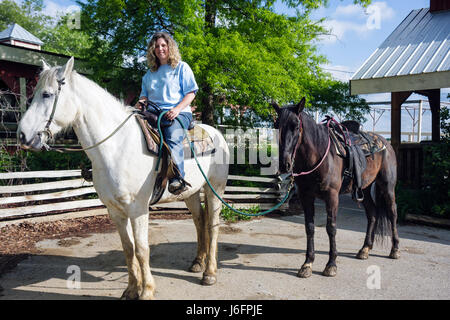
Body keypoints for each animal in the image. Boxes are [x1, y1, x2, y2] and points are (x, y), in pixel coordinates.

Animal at [16, 57, 229, 300]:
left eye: (47, 94)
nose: (22, 135)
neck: (116, 147)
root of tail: (217, 134)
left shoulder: (138, 209)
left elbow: (142, 248)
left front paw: (147, 290)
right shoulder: (115, 210)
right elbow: (128, 248)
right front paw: (131, 289)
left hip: (215, 189)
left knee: (212, 225)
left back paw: (209, 273)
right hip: (190, 193)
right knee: (199, 221)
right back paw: (197, 263)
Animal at [272, 97, 400, 278]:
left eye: (296, 125)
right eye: (276, 126)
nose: (285, 164)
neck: (317, 156)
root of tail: (385, 143)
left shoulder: (331, 196)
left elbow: (331, 228)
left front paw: (331, 264)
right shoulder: (306, 196)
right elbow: (309, 228)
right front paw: (307, 263)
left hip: (387, 186)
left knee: (392, 213)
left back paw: (395, 249)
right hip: (364, 189)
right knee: (372, 214)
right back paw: (365, 248)